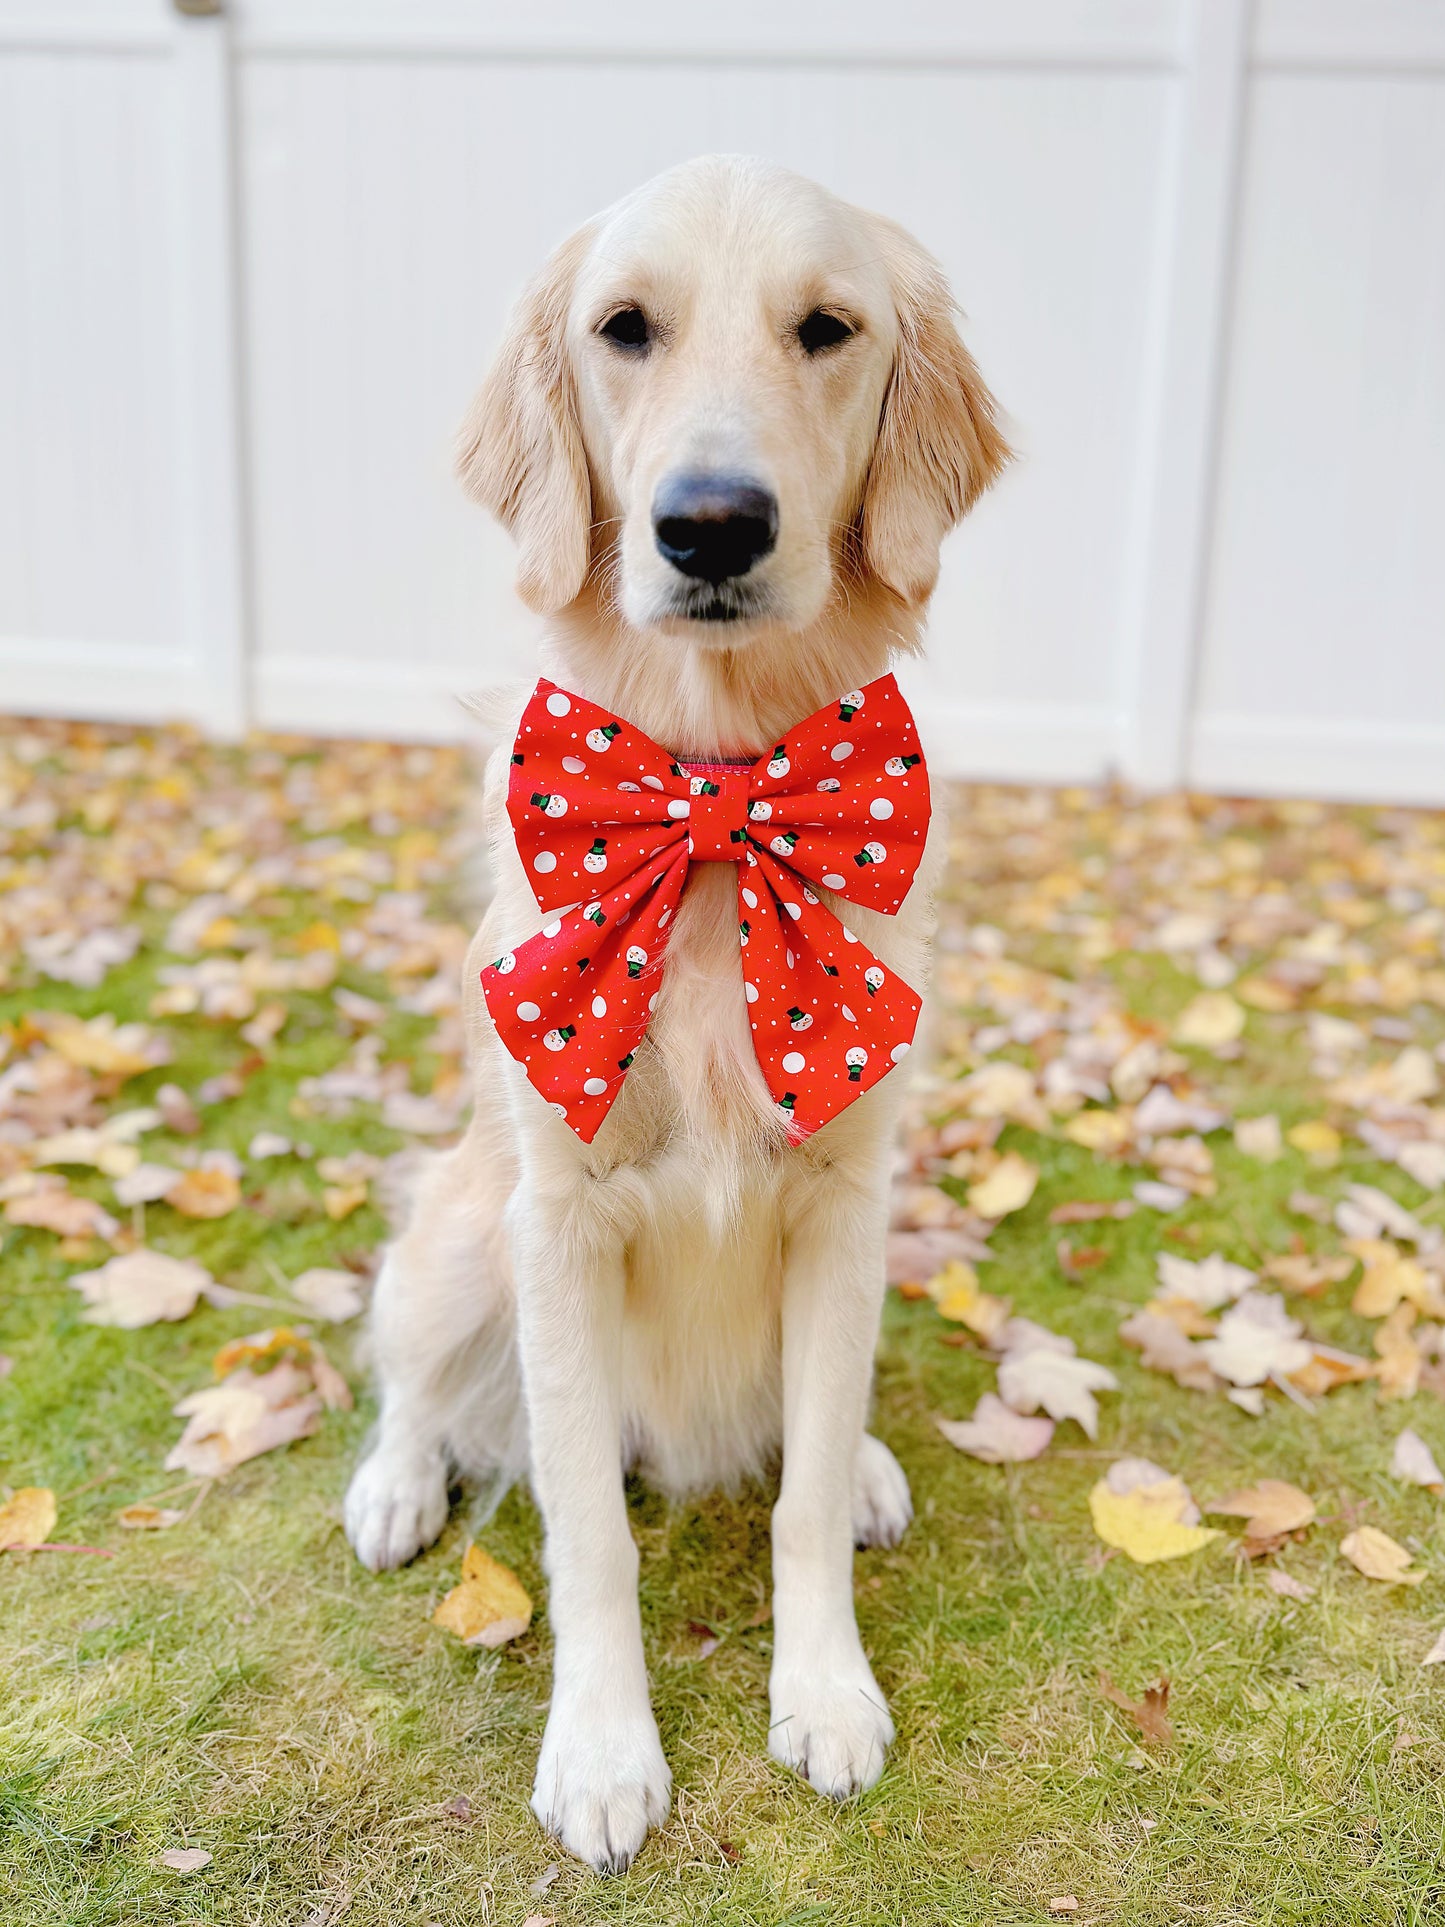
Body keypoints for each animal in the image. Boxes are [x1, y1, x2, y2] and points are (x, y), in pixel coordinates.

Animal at [348, 158, 1009, 1873]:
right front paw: (600, 1750)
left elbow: (797, 1498)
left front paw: (826, 1691)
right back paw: (393, 1482)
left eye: (827, 327)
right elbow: (585, 1525)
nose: (711, 522)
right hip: (461, 1230)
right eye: (623, 328)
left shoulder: (844, 1199)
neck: (714, 810)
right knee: (412, 1379)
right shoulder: (559, 1219)